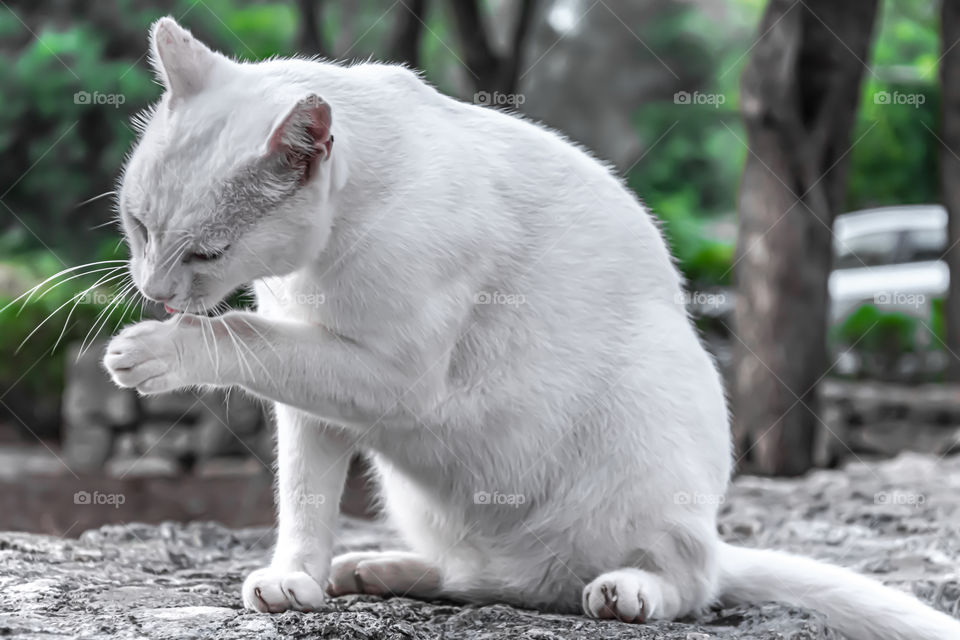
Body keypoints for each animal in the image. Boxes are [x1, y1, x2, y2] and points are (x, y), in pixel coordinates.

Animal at [105, 17, 960, 636]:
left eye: (206, 252)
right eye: (139, 224)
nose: (152, 290)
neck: (315, 265)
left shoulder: (391, 376)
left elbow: (242, 340)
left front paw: (157, 351)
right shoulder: (316, 408)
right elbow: (304, 497)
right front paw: (299, 577)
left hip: (655, 435)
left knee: (688, 580)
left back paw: (629, 590)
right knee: (482, 579)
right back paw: (379, 569)